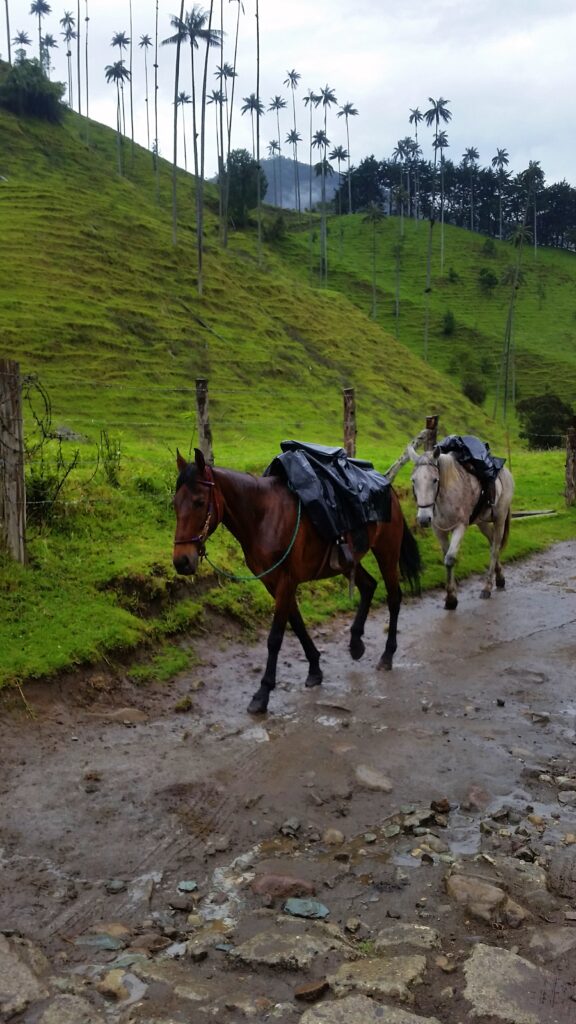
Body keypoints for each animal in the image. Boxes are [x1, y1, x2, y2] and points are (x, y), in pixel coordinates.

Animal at [170, 448, 416, 712]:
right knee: (369, 586)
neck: (262, 517)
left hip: (387, 552)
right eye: (175, 504)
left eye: (199, 502)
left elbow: (275, 637)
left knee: (394, 598)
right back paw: (356, 643)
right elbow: (296, 624)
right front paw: (315, 669)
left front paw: (263, 692)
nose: (182, 561)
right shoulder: (273, 583)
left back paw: (387, 655)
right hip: (348, 561)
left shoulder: (286, 581)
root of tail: (387, 487)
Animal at [407, 442, 510, 606]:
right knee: (492, 542)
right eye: (413, 480)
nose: (423, 519)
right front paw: (451, 593)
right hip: (481, 522)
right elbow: (445, 556)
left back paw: (487, 587)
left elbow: (449, 559)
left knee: (495, 548)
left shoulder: (460, 527)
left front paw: (451, 599)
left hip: (500, 518)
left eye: (435, 480)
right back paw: (499, 578)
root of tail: (505, 471)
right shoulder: (439, 530)